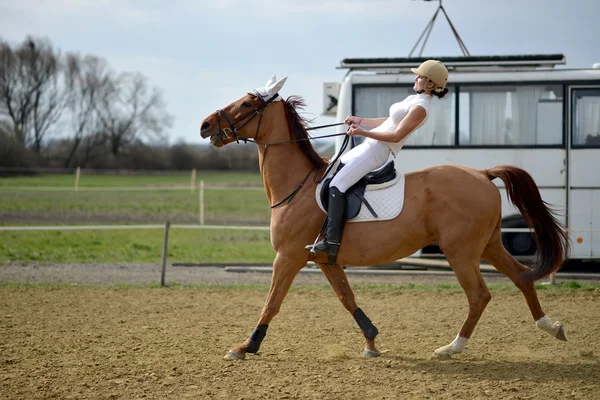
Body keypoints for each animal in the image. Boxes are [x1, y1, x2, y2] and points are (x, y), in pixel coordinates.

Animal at [199, 75, 568, 360]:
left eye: (247, 104)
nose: (205, 126)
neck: (297, 185)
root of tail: (482, 173)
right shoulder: (325, 259)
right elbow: (347, 298)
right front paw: (372, 342)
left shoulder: (288, 257)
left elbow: (271, 303)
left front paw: (246, 346)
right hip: (489, 244)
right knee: (521, 277)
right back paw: (552, 327)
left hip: (460, 251)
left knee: (479, 295)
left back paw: (452, 348)